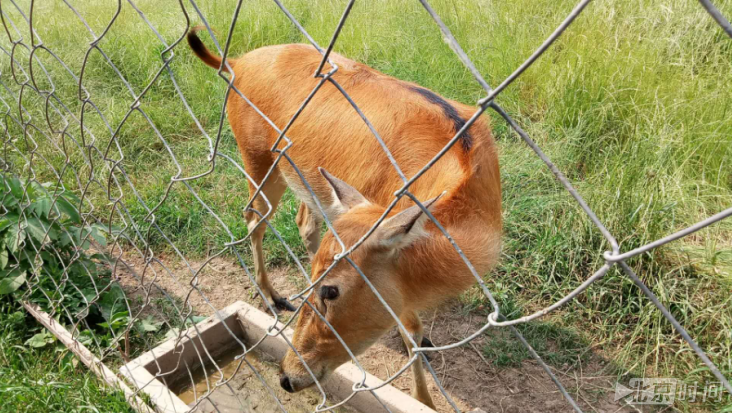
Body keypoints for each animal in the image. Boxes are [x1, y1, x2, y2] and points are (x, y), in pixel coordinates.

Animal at [187, 27, 504, 408]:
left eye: (331, 290)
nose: (287, 376)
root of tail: (236, 63)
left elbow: (414, 331)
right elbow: (411, 330)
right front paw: (424, 400)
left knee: (301, 222)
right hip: (259, 160)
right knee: (254, 218)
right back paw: (272, 297)